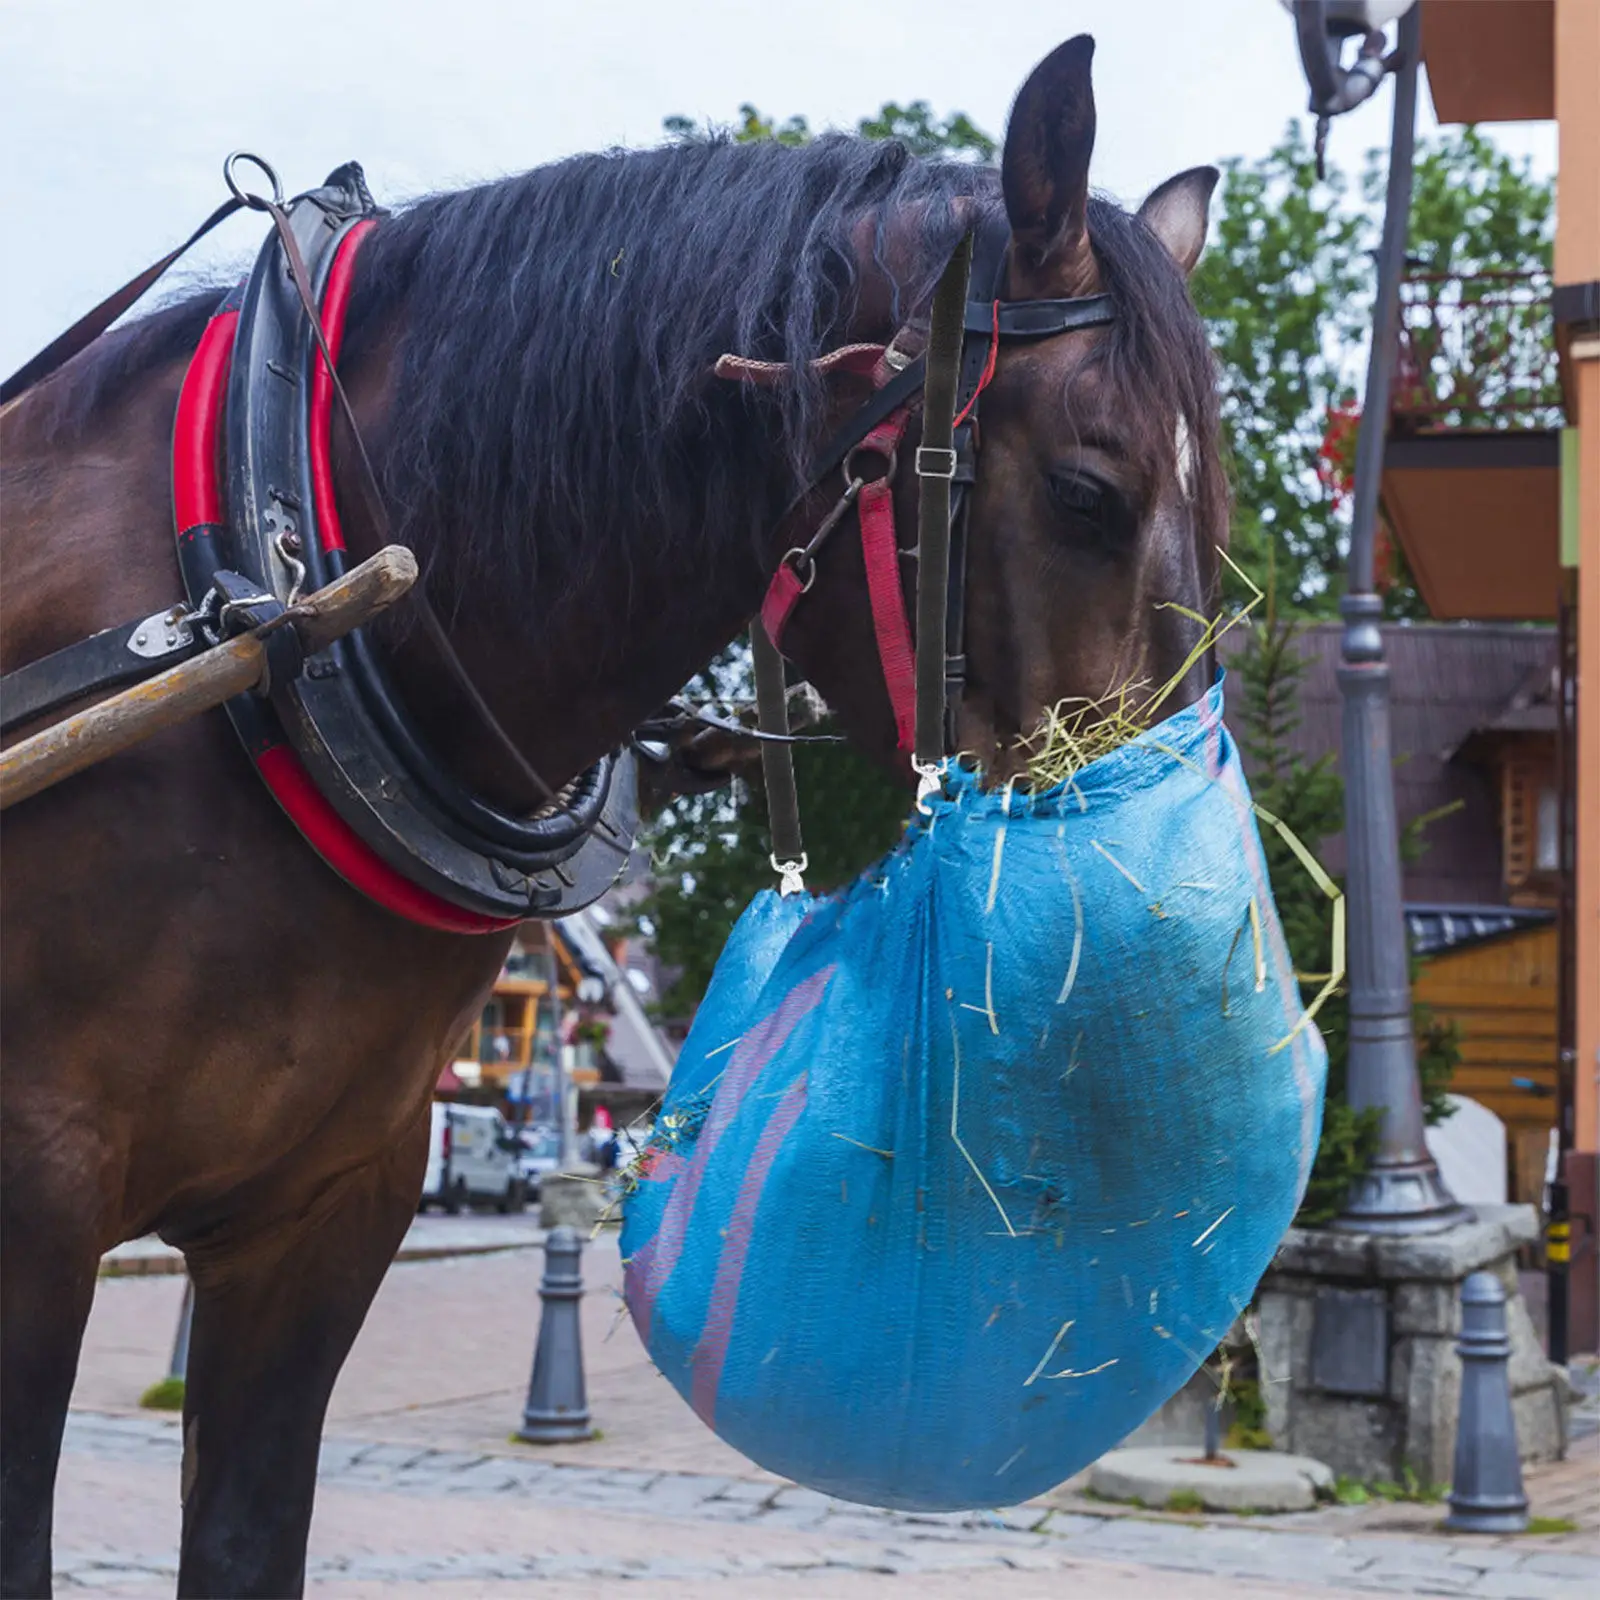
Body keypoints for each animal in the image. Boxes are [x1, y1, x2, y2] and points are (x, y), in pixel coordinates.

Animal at [0, 35, 1226, 1598]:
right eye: (1085, 490)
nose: (1144, 928)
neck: (271, 611)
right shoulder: (29, 1201)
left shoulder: (327, 1210)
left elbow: (247, 1533)